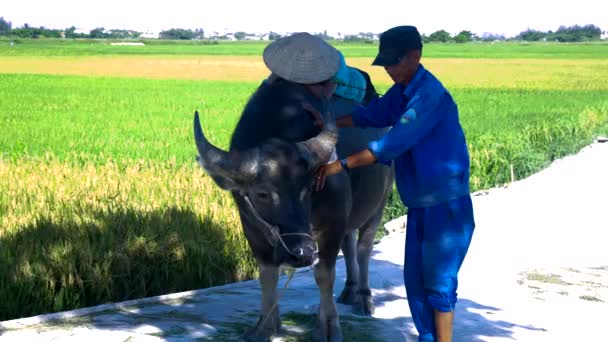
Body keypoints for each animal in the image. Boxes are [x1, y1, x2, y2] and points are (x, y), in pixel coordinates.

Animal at [194, 69, 394, 340]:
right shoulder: (252, 227)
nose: (301, 253)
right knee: (350, 244)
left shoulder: (331, 225)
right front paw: (266, 325)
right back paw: (349, 291)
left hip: (379, 205)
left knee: (363, 249)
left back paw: (364, 298)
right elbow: (267, 275)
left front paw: (329, 326)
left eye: (309, 188)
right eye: (262, 194)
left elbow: (324, 274)